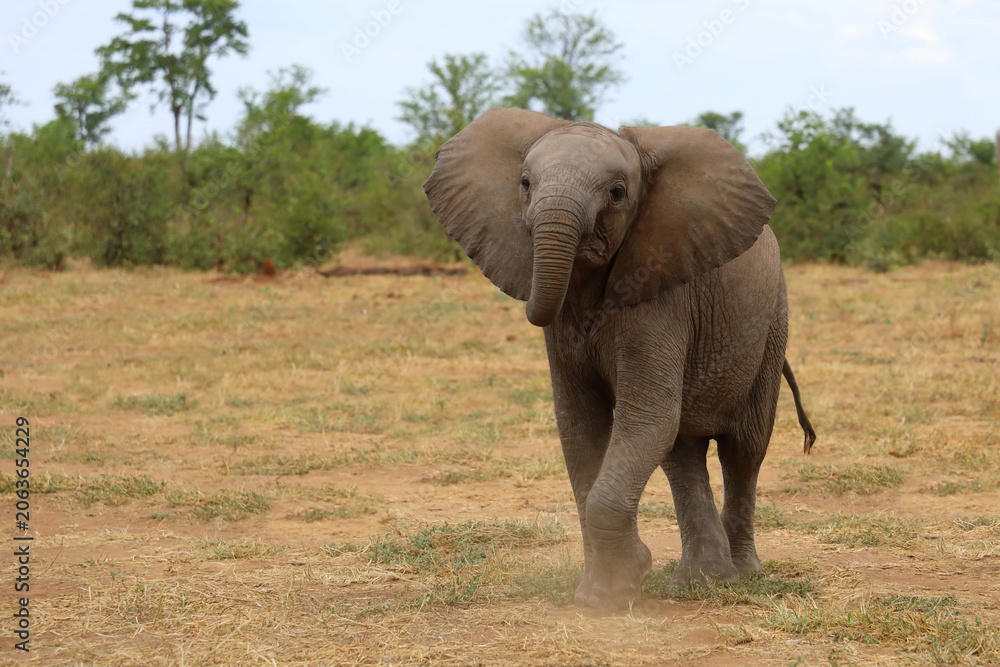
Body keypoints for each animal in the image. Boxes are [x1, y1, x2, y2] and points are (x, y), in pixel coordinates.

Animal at [423, 107, 816, 608]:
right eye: (525, 184)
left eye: (617, 194)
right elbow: (581, 426)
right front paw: (599, 595)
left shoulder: (660, 296)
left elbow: (645, 417)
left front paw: (622, 583)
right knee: (681, 452)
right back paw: (703, 580)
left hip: (771, 326)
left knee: (743, 449)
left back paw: (741, 576)